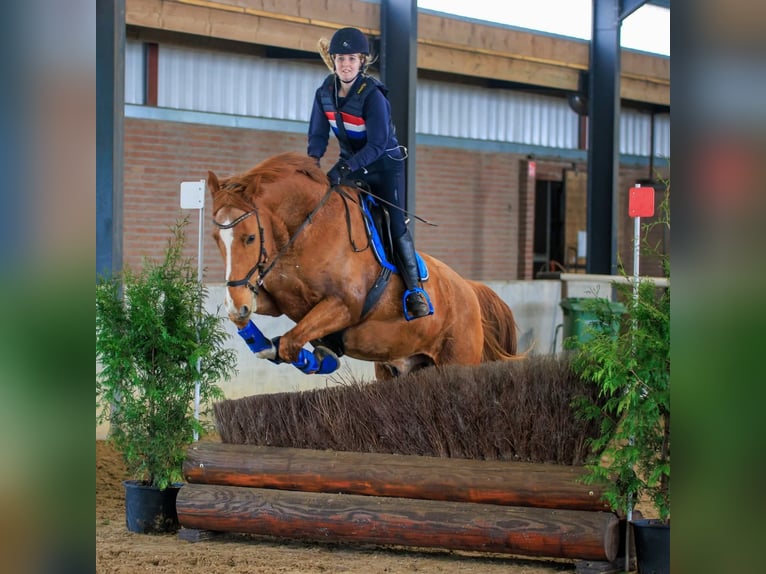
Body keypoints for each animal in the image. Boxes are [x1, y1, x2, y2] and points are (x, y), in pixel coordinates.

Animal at [207, 152, 519, 380]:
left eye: (250, 237)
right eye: (215, 239)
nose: (237, 303)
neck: (306, 234)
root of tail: (469, 289)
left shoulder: (345, 305)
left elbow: (291, 343)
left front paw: (317, 358)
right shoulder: (279, 301)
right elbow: (255, 322)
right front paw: (260, 340)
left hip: (457, 361)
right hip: (397, 368)